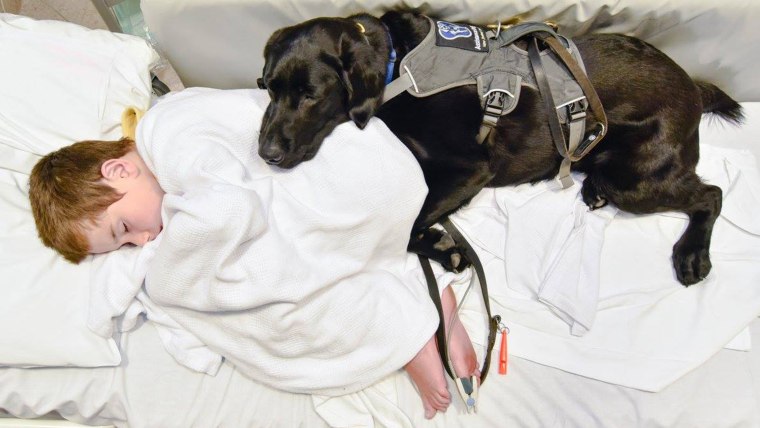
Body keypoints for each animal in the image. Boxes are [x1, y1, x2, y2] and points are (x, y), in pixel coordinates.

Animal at [256, 10, 744, 284]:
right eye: (268, 86)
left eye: (310, 94)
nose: (266, 153)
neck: (398, 65)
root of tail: (692, 87)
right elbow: (414, 222)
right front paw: (444, 247)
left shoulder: (470, 168)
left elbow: (407, 226)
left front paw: (443, 249)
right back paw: (593, 190)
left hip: (637, 181)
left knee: (711, 194)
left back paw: (692, 255)